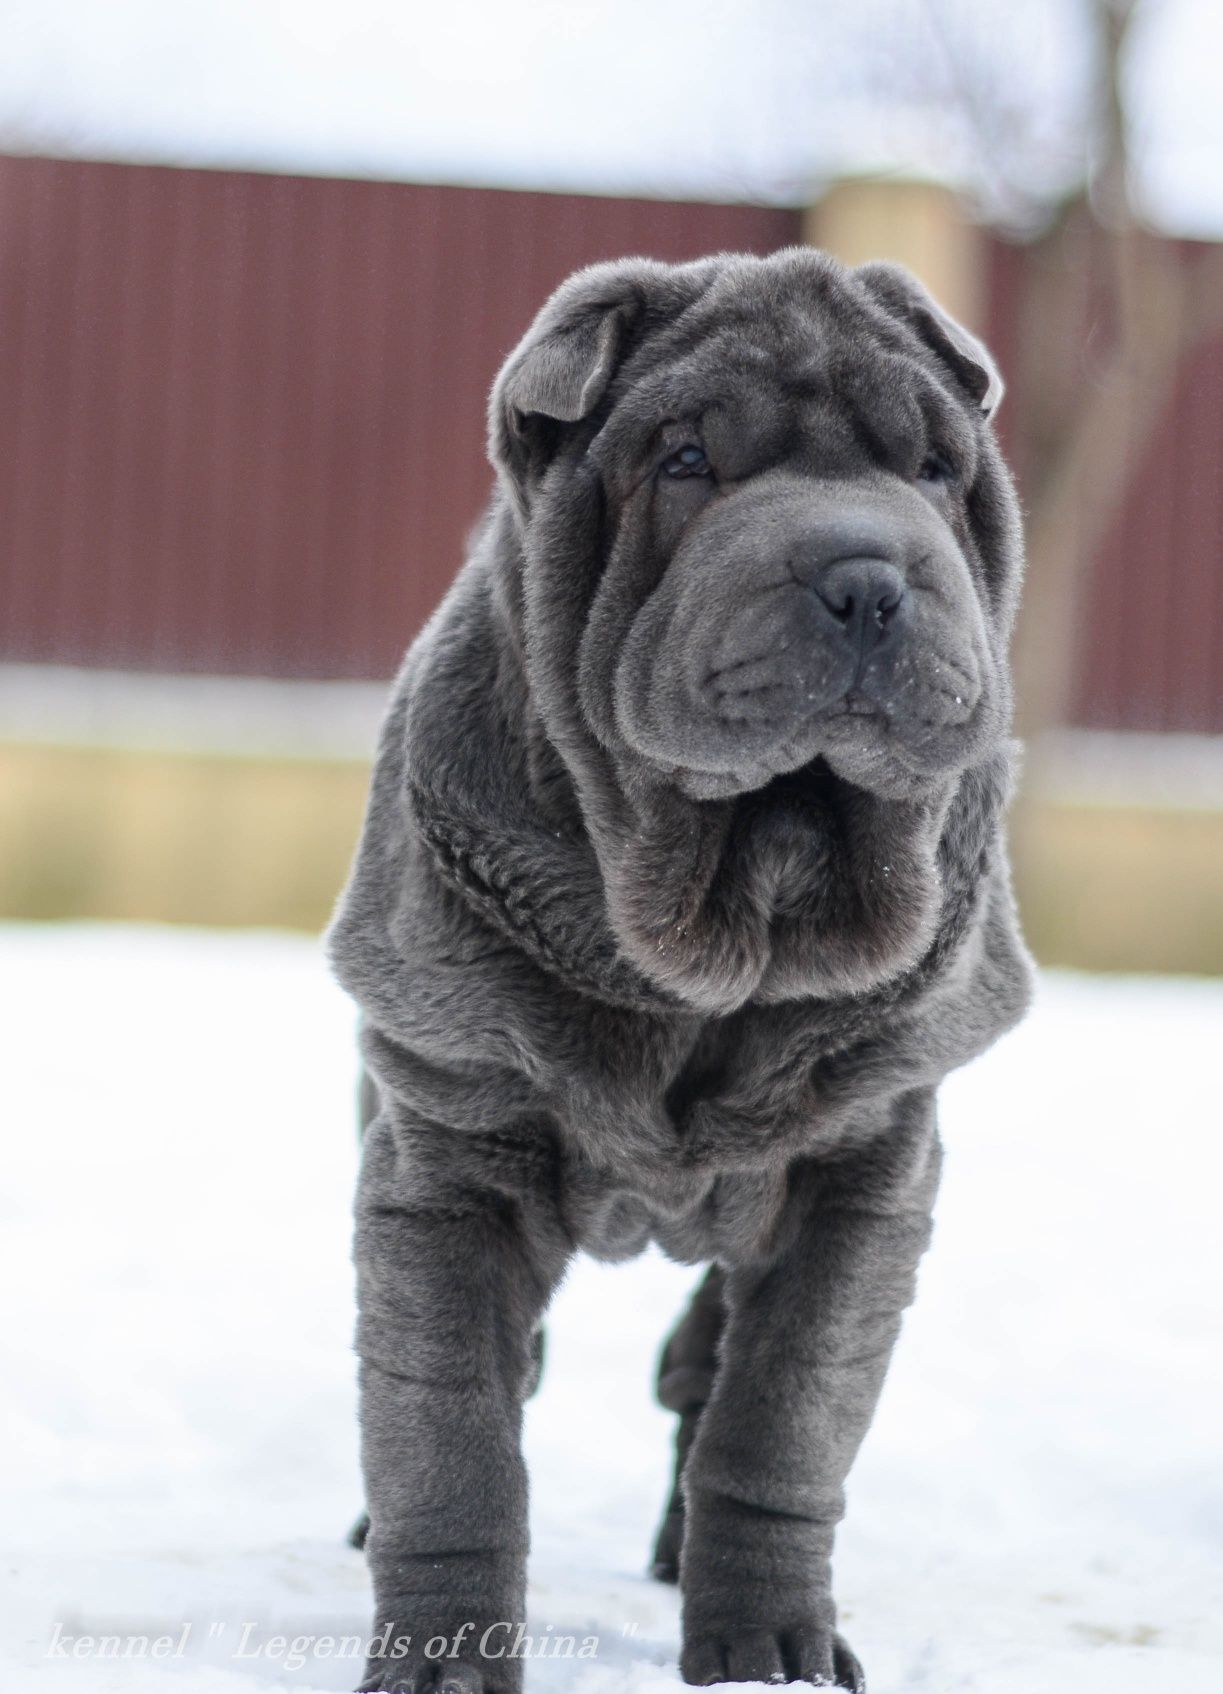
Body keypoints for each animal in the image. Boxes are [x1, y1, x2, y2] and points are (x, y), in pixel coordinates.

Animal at [326, 245, 1029, 1687]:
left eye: (934, 467)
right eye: (689, 459)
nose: (866, 574)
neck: (732, 925)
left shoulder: (861, 1170)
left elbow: (780, 1422)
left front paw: (770, 1649)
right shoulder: (446, 1152)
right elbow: (448, 1428)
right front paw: (441, 1658)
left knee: (701, 1379)